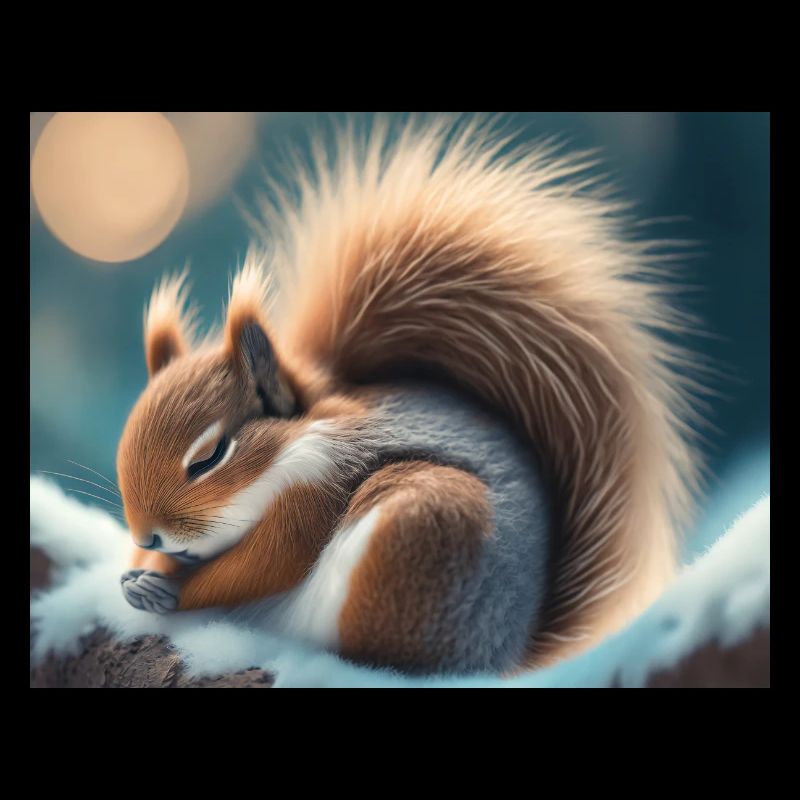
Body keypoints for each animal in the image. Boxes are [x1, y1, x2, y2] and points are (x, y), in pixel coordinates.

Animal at [116, 116, 702, 675]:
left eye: (210, 456)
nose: (146, 539)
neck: (291, 444)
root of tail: (500, 652)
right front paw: (149, 571)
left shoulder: (316, 489)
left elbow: (263, 565)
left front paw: (164, 590)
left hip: (414, 530)